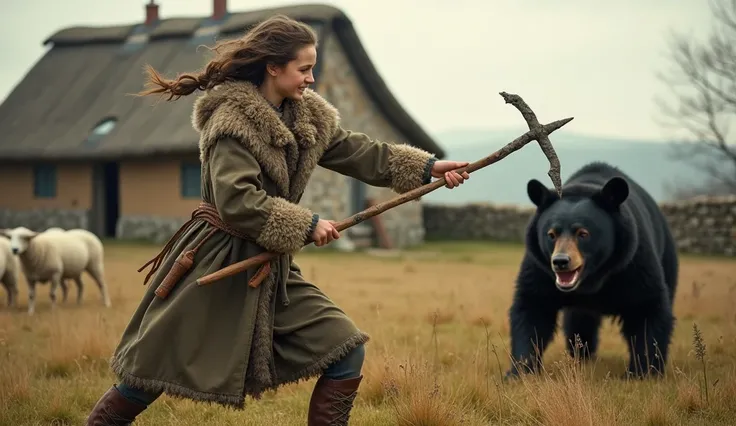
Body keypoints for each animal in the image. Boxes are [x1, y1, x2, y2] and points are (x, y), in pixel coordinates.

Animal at [506, 161, 680, 378]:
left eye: (583, 233)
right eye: (551, 234)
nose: (560, 261)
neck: (591, 280)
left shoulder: (634, 262)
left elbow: (646, 308)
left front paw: (643, 372)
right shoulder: (540, 269)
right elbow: (533, 308)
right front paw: (520, 372)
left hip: (667, 258)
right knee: (579, 324)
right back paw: (583, 355)